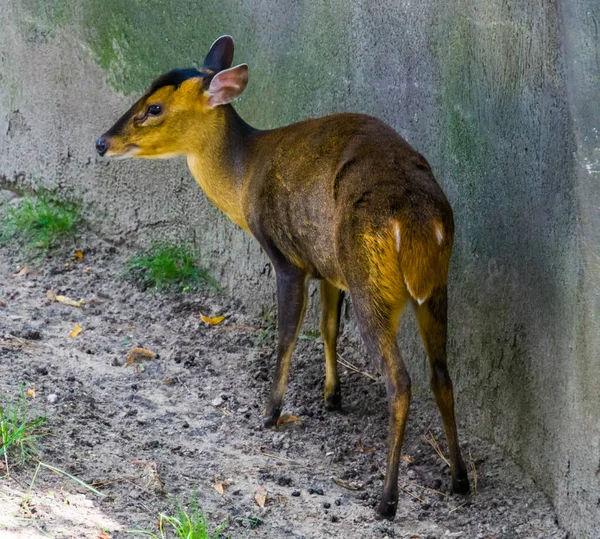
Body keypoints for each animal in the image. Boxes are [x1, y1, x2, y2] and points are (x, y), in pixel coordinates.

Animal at [97, 33, 468, 520]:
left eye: (154, 107)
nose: (101, 142)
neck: (244, 173)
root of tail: (415, 218)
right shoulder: (327, 266)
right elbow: (327, 328)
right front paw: (332, 397)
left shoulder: (287, 258)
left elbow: (287, 334)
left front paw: (269, 412)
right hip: (433, 285)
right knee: (441, 374)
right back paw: (460, 479)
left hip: (371, 283)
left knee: (400, 381)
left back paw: (387, 501)